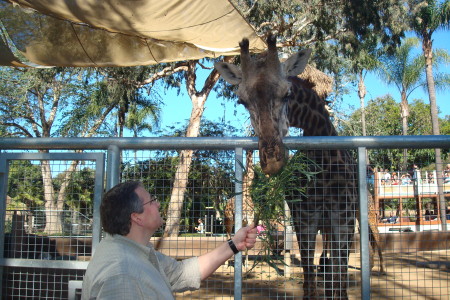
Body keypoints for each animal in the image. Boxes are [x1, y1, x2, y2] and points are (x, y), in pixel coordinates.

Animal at [216, 34, 384, 298]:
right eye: (242, 101)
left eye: (287, 93)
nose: (272, 161)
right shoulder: (304, 218)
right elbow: (309, 277)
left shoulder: (343, 216)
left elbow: (339, 276)